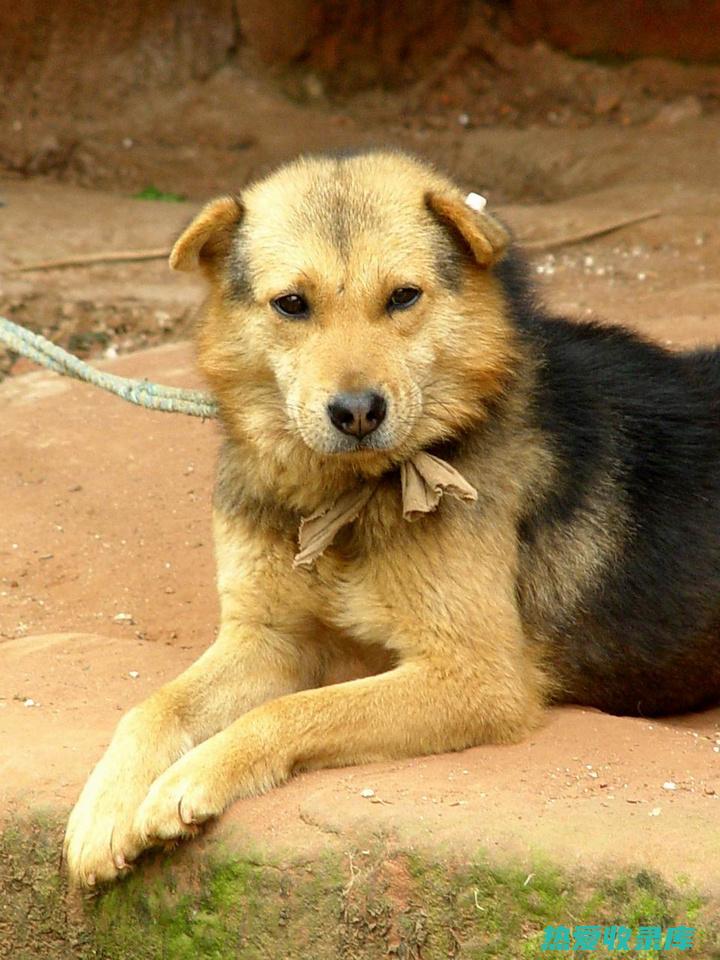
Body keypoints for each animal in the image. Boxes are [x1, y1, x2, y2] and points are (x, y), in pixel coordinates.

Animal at [63, 146, 720, 888]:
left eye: (403, 296)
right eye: (292, 304)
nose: (356, 412)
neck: (347, 498)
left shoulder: (476, 677)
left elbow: (293, 709)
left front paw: (192, 776)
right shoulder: (269, 637)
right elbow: (154, 706)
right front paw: (105, 806)